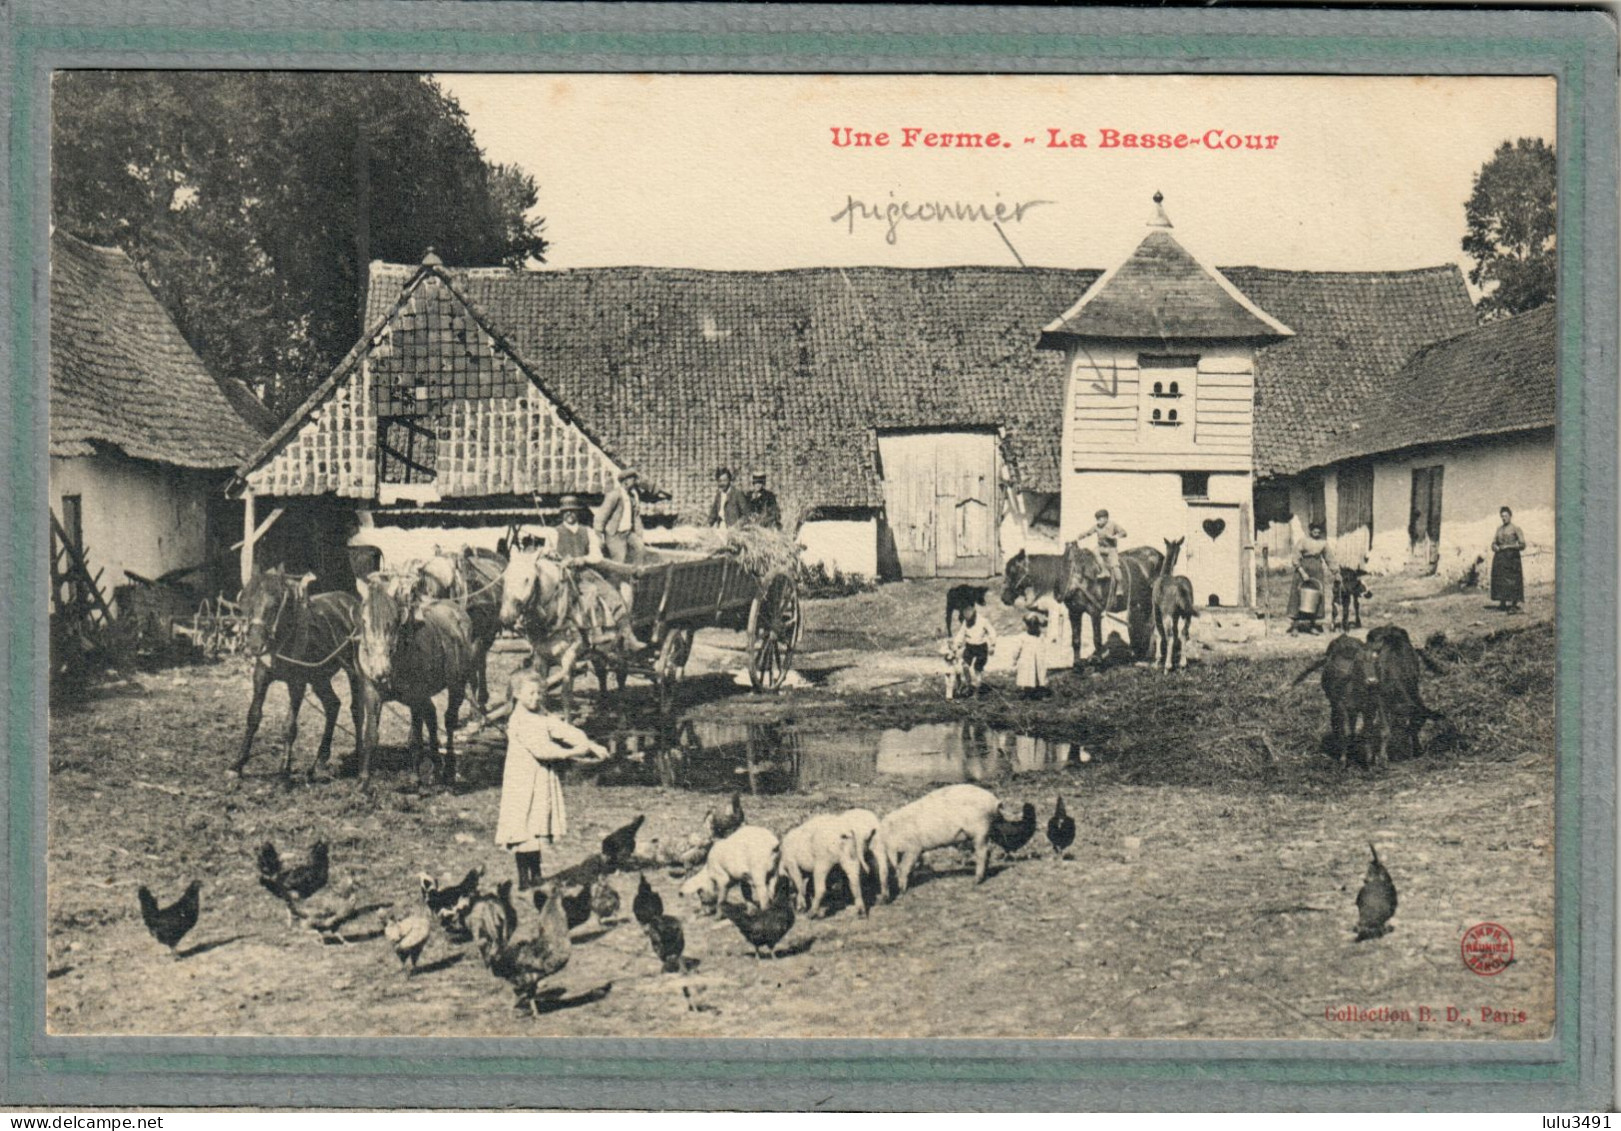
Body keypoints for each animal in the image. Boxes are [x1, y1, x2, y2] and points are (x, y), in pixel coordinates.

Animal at [231, 563, 364, 774]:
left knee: (356, 709)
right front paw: (238, 763)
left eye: (275, 604)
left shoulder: (297, 683)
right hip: (319, 677)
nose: (254, 646)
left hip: (353, 671)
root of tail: (351, 601)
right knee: (332, 705)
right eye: (245, 603)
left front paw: (284, 769)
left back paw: (359, 755)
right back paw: (320, 759)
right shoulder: (261, 676)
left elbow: (289, 726)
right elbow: (253, 716)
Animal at [356, 573, 473, 784]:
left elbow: (415, 738)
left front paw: (415, 778)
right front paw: (363, 781)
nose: (381, 671)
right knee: (432, 715)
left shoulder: (415, 697)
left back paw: (448, 769)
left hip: (457, 686)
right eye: (364, 620)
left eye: (394, 620)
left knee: (449, 720)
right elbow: (370, 735)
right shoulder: (372, 693)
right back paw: (436, 766)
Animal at [1147, 537, 1199, 670]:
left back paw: (1168, 665)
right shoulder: (1176, 615)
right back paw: (1182, 663)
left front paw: (1157, 660)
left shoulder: (1156, 609)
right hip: (1187, 613)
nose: (1175, 561)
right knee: (1184, 633)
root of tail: (1181, 588)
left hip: (1167, 613)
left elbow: (1158, 632)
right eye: (1179, 548)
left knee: (1169, 635)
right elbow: (1176, 633)